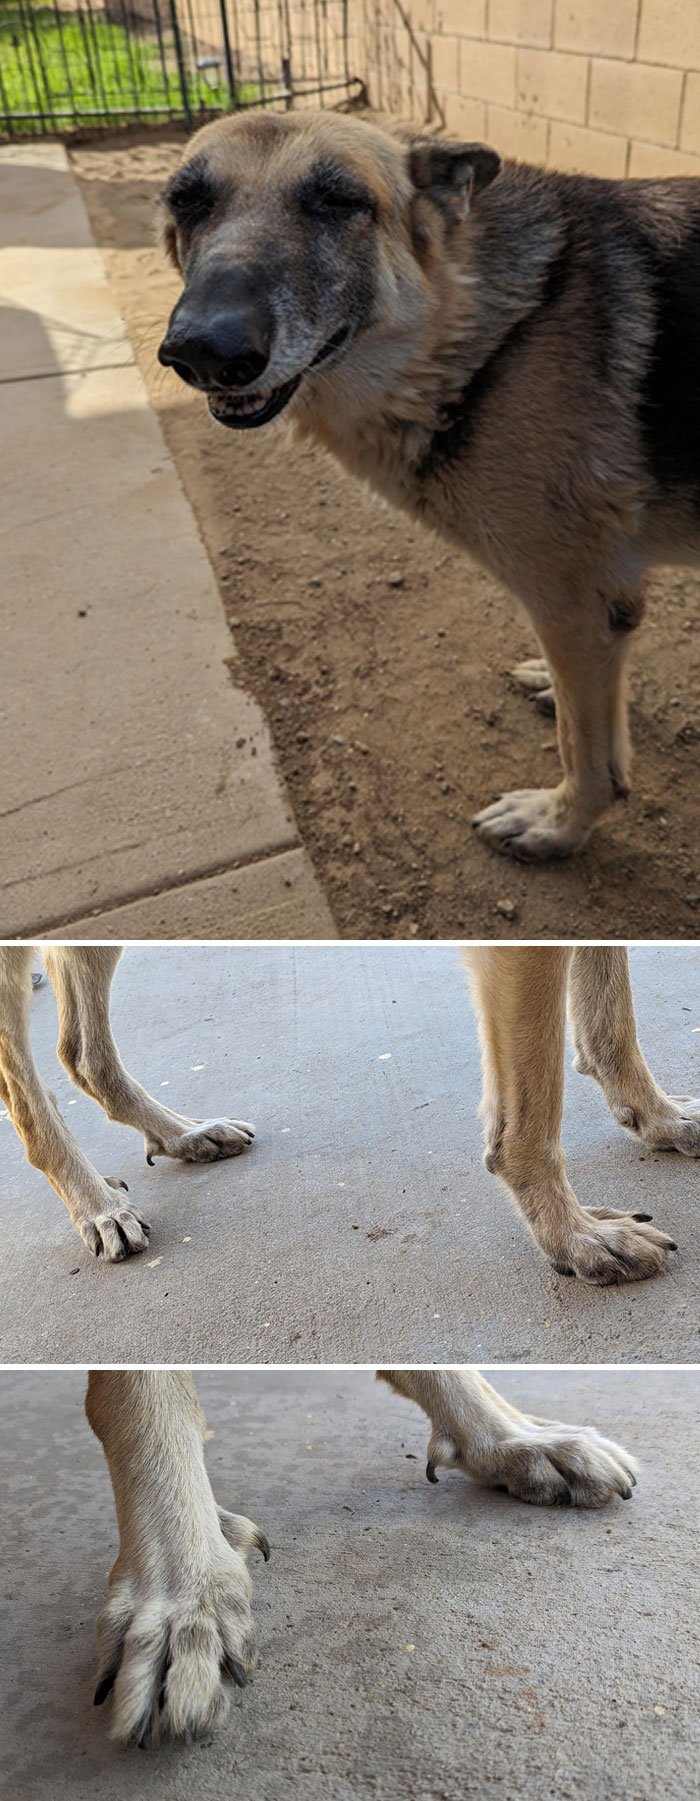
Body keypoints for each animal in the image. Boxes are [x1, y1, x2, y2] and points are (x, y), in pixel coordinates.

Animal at [2, 943, 694, 1282]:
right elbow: (531, 1115)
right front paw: (575, 1236)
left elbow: (610, 1013)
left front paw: (656, 1114)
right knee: (26, 1081)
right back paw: (94, 1202)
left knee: (81, 1053)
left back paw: (181, 1133)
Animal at [156, 108, 698, 860]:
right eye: (187, 201)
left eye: (339, 201)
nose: (205, 351)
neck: (485, 326)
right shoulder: (590, 610)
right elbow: (587, 702)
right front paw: (554, 688)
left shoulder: (579, 595)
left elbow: (586, 749)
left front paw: (560, 823)